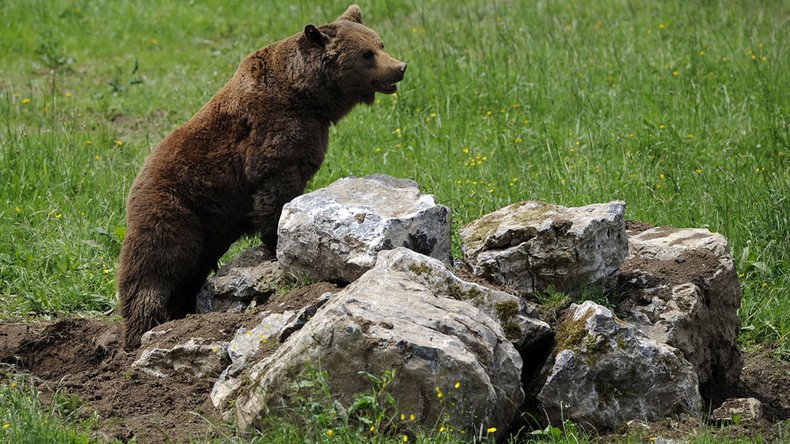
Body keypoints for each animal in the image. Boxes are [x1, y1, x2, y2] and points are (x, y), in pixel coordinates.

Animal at [117, 4, 408, 350]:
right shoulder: (273, 134)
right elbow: (274, 192)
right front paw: (275, 244)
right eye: (366, 54)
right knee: (156, 266)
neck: (309, 96)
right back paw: (142, 328)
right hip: (175, 209)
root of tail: (131, 187)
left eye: (380, 43)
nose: (400, 67)